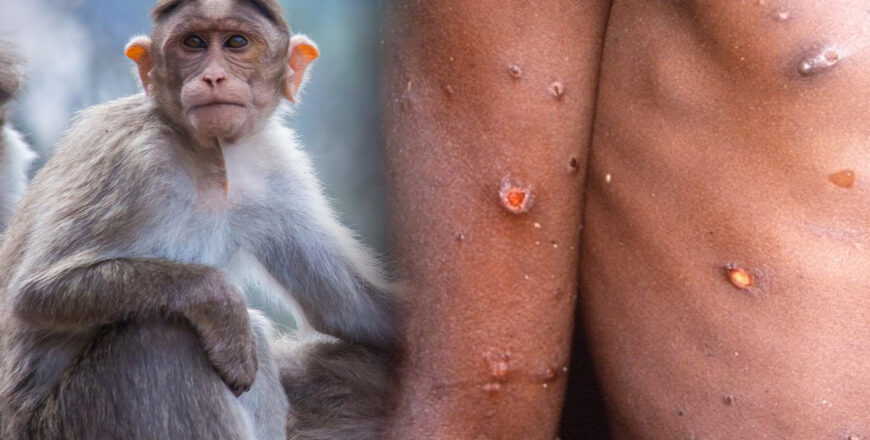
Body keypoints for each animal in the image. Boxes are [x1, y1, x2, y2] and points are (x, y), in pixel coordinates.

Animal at [0, 1, 395, 438]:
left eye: (237, 42)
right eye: (193, 43)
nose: (213, 76)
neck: (206, 156)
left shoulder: (273, 165)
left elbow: (346, 305)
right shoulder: (129, 159)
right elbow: (35, 293)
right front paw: (221, 302)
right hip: (68, 420)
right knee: (161, 337)